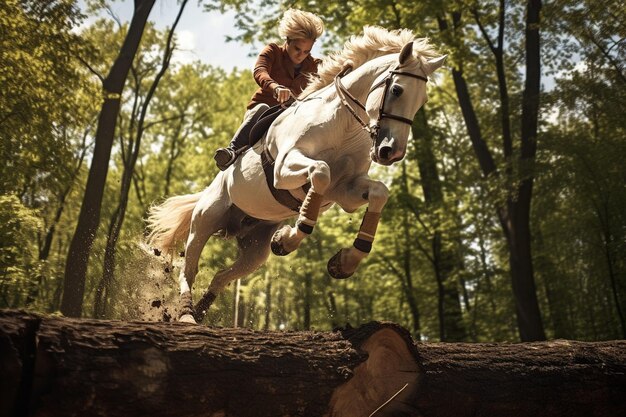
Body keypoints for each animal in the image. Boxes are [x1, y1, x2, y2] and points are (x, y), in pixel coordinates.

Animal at [146, 26, 444, 324]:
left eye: (423, 100)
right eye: (396, 89)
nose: (391, 152)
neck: (343, 126)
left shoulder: (345, 190)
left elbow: (379, 192)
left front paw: (345, 262)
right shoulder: (285, 168)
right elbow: (320, 173)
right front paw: (287, 240)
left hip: (255, 250)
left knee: (221, 277)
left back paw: (200, 312)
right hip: (205, 219)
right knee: (189, 270)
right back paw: (186, 314)